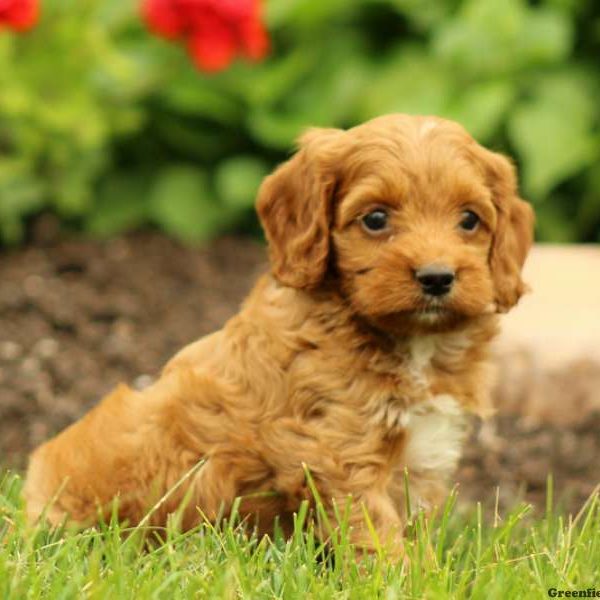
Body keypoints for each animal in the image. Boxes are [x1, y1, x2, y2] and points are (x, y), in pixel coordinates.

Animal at [22, 112, 536, 552]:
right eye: (375, 219)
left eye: (469, 219)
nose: (436, 277)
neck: (408, 343)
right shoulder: (338, 454)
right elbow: (377, 536)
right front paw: (402, 579)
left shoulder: (419, 463)